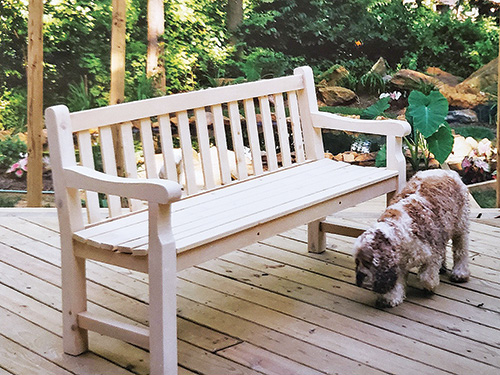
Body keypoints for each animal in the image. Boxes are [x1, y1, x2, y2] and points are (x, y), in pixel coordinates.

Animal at [354, 170, 470, 308]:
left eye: (367, 262)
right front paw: (391, 298)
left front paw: (430, 287)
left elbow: (426, 276)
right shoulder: (399, 264)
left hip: (461, 227)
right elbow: (397, 283)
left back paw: (460, 273)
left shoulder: (432, 253)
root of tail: (445, 171)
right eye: (357, 261)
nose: (359, 278)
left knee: (461, 250)